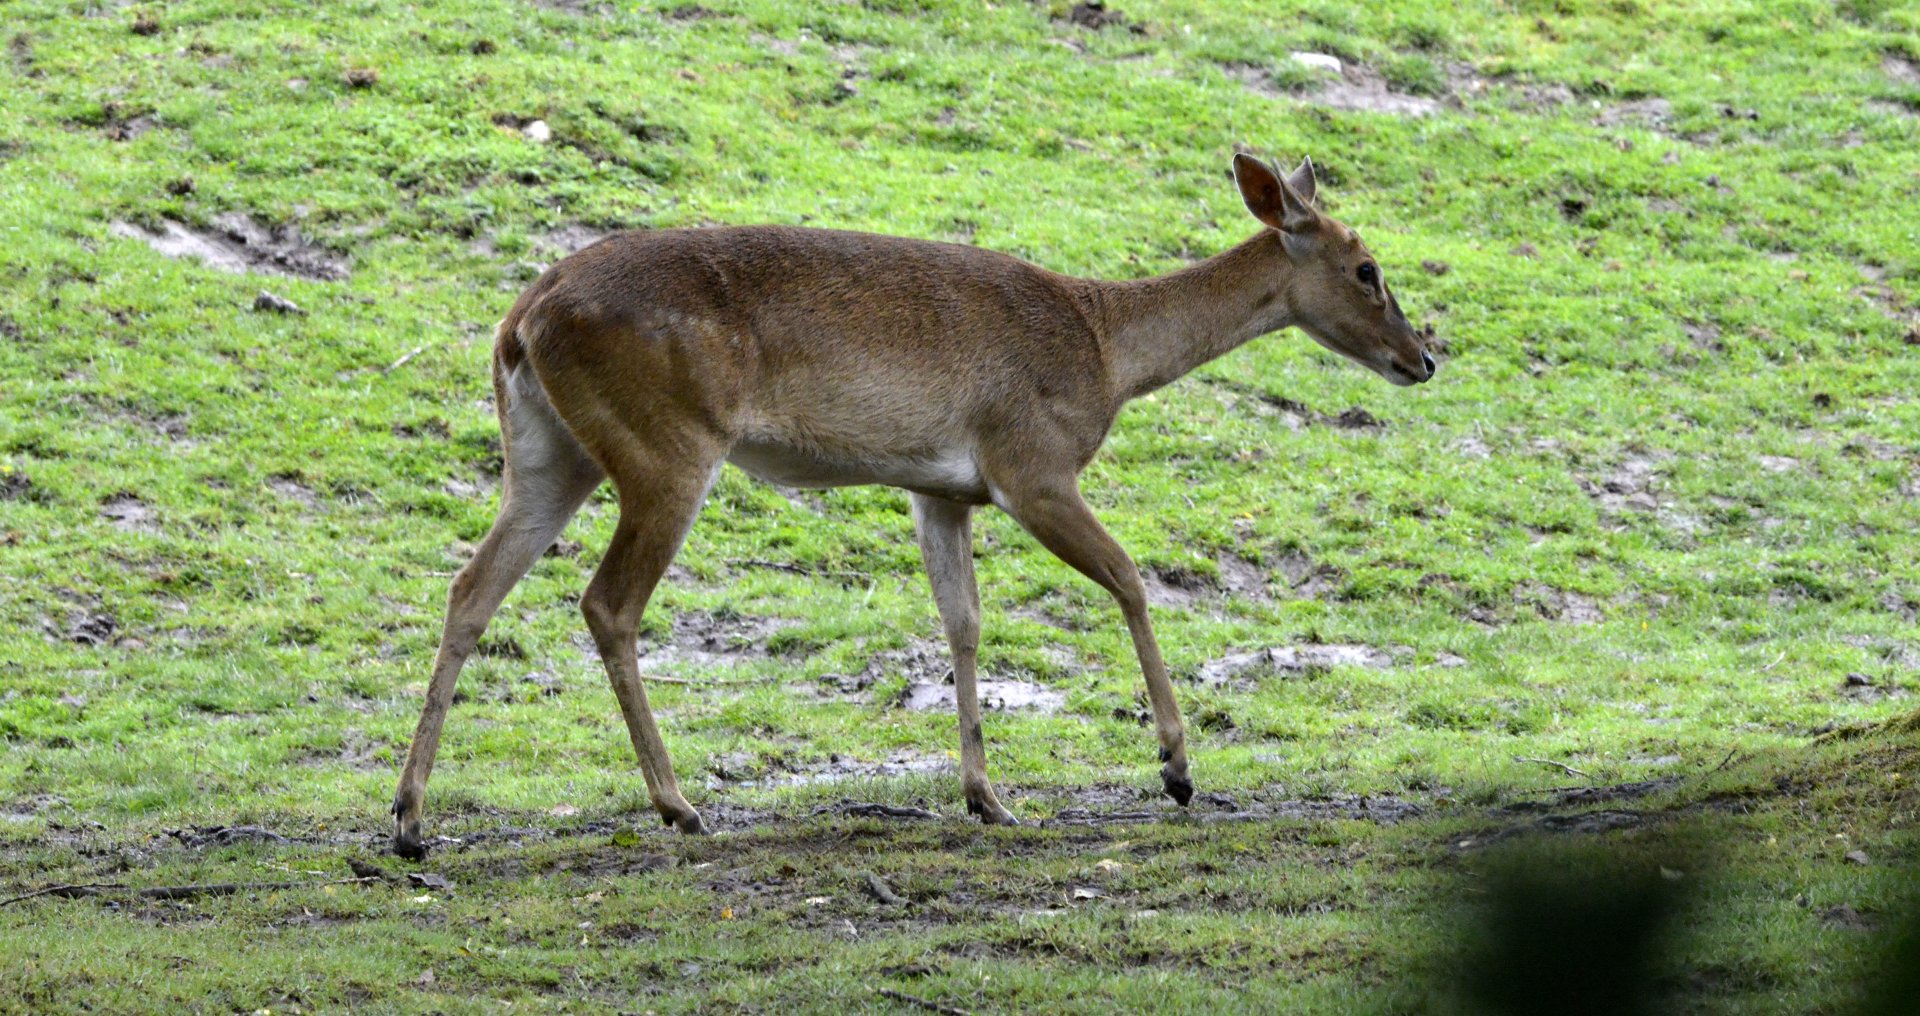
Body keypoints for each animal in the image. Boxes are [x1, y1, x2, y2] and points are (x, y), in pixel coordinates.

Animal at [390, 152, 1437, 858]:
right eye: (1367, 267)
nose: (1425, 356)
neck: (1106, 351)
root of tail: (521, 317)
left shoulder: (941, 489)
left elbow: (963, 620)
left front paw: (988, 795)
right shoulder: (1032, 464)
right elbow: (1131, 579)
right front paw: (1175, 767)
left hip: (548, 455)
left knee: (471, 588)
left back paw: (408, 821)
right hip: (667, 450)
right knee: (606, 602)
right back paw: (680, 806)